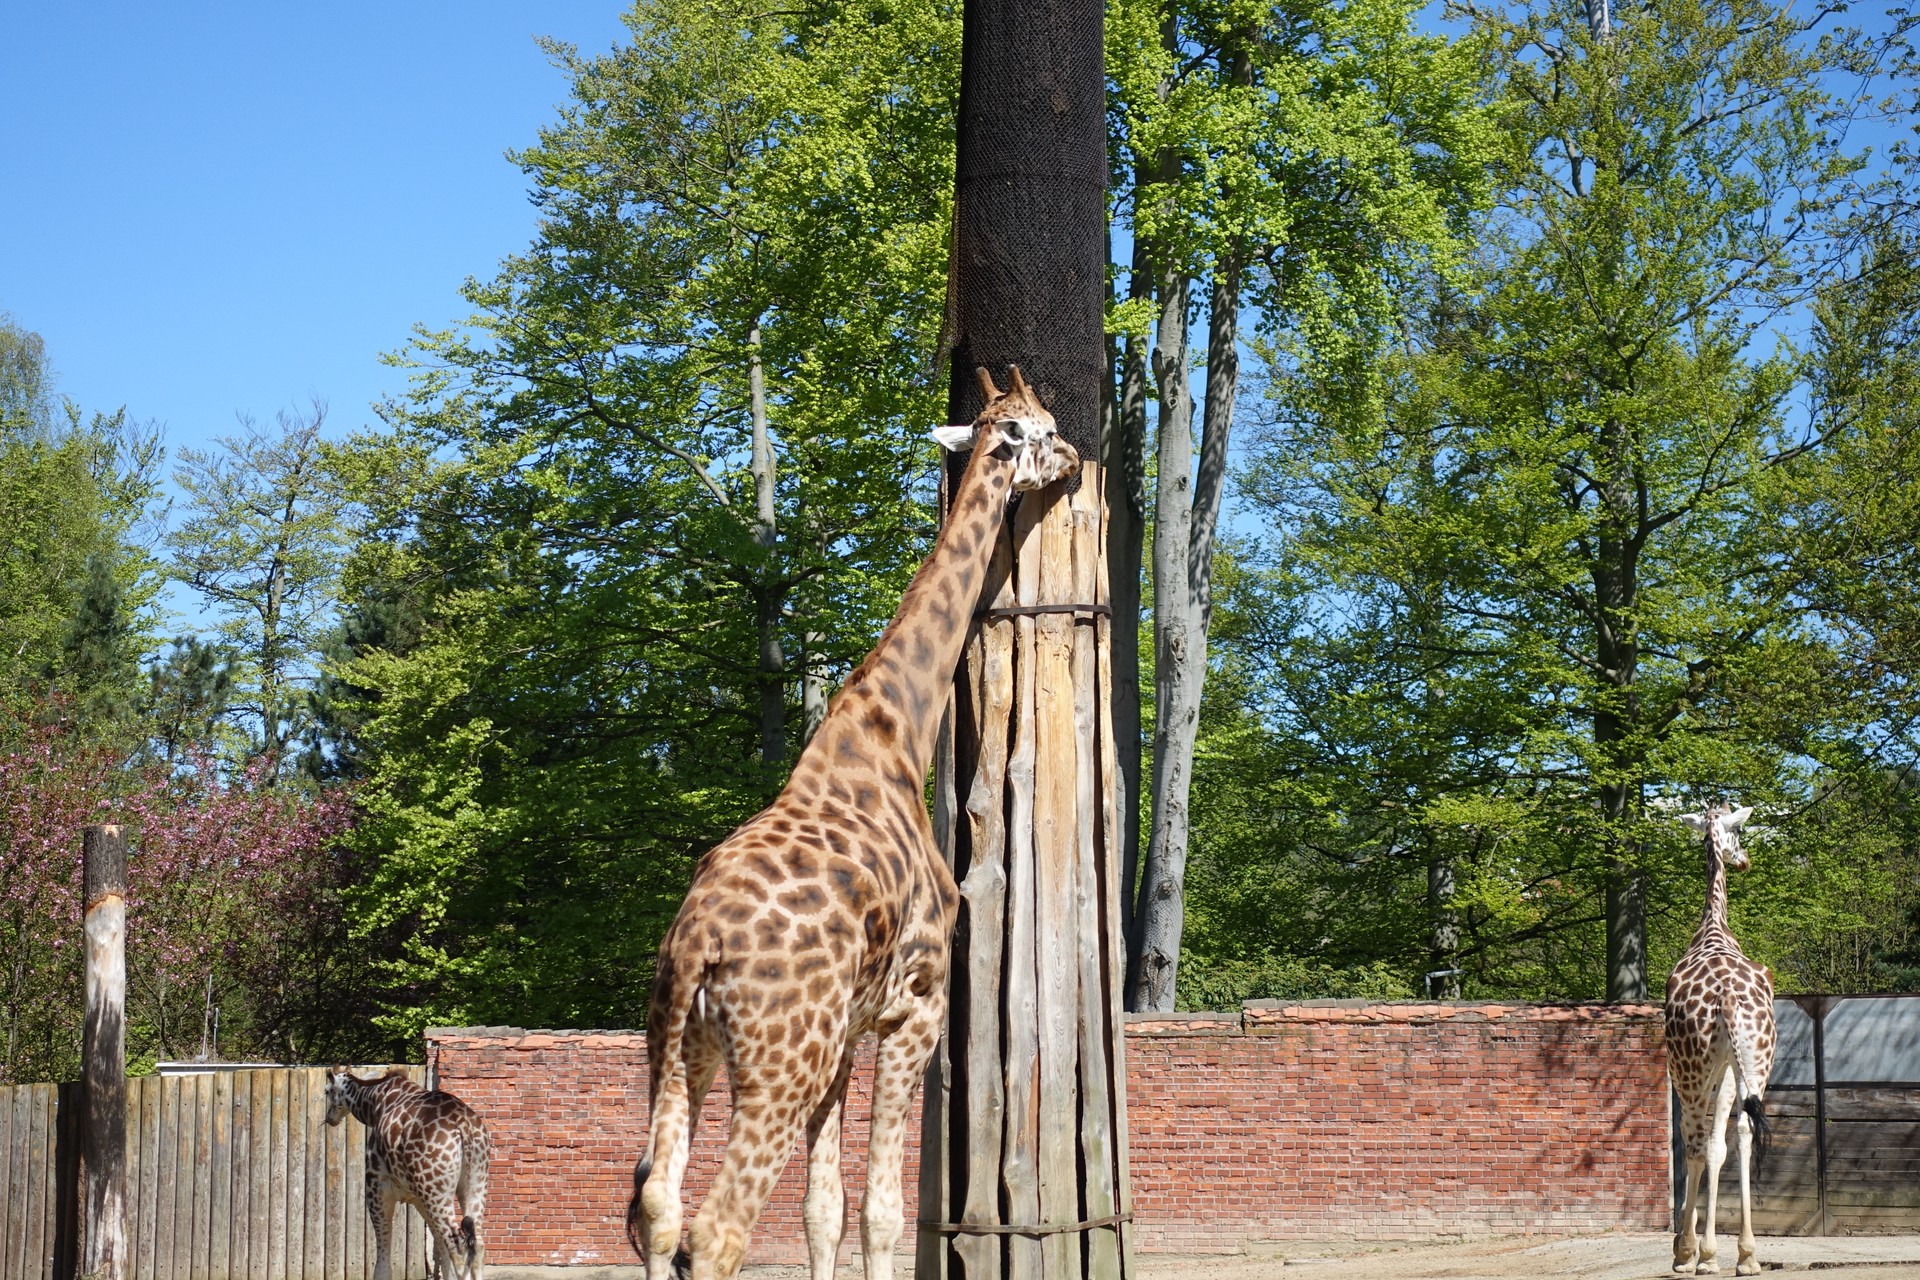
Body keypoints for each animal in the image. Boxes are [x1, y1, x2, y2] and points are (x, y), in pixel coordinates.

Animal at [325, 1068, 491, 1280]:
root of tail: (464, 1126)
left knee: (458, 1247)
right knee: (477, 1245)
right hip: (475, 1183)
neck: (375, 1102)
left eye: (326, 1091)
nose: (330, 1118)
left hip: (436, 1192)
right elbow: (440, 1247)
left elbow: (382, 1262)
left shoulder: (377, 1188)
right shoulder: (417, 1198)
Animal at [626, 366, 1079, 1280]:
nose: (1079, 459)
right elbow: (880, 1211)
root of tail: (699, 945)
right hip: (777, 1062)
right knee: (716, 1231)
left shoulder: (844, 1039)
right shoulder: (915, 1010)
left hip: (677, 1045)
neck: (896, 728)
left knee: (658, 1207)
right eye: (1043, 429)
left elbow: (823, 1210)